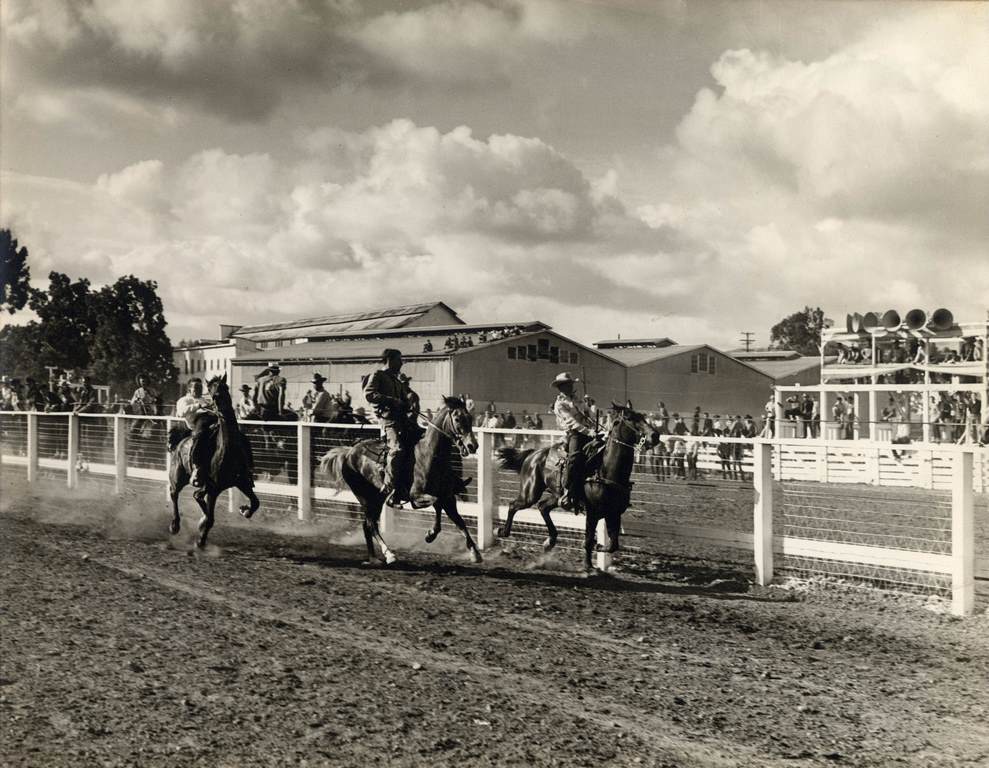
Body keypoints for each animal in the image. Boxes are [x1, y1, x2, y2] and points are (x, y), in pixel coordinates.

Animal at [168, 376, 258, 548]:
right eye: (210, 388)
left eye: (225, 386)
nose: (217, 398)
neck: (228, 450)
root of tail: (181, 441)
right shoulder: (214, 488)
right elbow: (210, 519)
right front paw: (200, 541)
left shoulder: (242, 481)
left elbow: (256, 503)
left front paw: (244, 510)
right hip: (179, 476)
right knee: (174, 493)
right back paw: (175, 525)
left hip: (206, 485)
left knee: (197, 495)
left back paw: (199, 521)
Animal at [318, 400, 480, 568]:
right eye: (457, 419)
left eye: (470, 417)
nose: (472, 445)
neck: (429, 454)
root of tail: (348, 453)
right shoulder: (416, 496)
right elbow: (437, 503)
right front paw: (430, 534)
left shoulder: (448, 497)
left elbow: (459, 521)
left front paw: (474, 553)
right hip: (365, 497)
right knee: (371, 524)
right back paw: (389, 554)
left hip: (377, 498)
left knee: (366, 525)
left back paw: (373, 558)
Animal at [492, 402, 656, 568]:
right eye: (629, 418)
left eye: (642, 416)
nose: (655, 436)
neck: (605, 470)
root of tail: (533, 454)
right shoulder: (592, 513)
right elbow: (588, 540)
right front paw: (588, 565)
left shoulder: (614, 513)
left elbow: (613, 544)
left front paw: (599, 546)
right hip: (529, 493)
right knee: (513, 505)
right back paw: (501, 532)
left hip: (556, 496)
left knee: (543, 507)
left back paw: (549, 541)